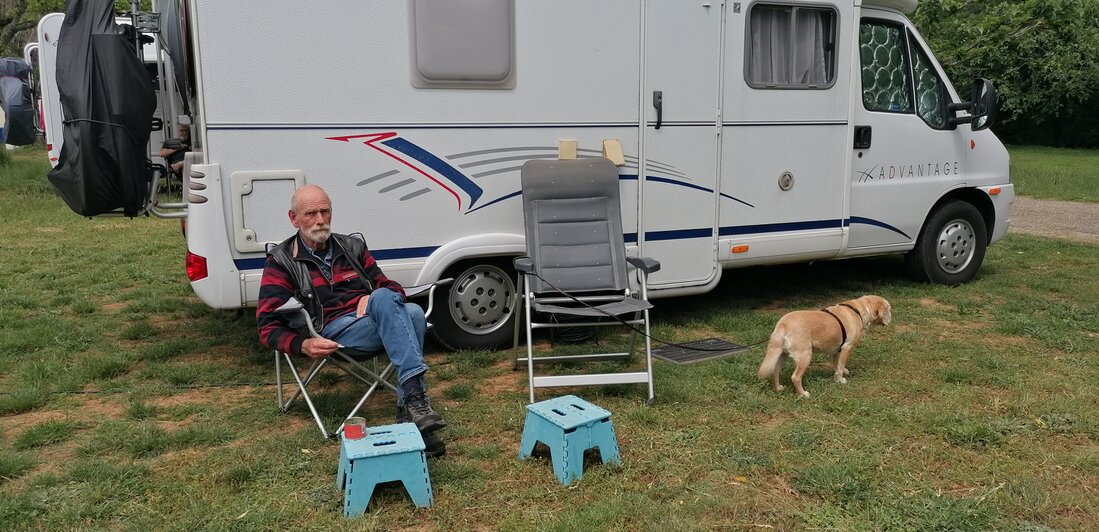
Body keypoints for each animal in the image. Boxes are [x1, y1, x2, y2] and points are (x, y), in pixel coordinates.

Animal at [757, 295, 891, 397]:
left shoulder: (837, 350)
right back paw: (803, 394)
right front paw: (840, 380)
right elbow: (840, 366)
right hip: (805, 356)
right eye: (889, 309)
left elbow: (837, 365)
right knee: (795, 377)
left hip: (780, 354)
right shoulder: (847, 347)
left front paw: (839, 374)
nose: (892, 317)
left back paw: (779, 388)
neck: (858, 310)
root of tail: (783, 324)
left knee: (775, 371)